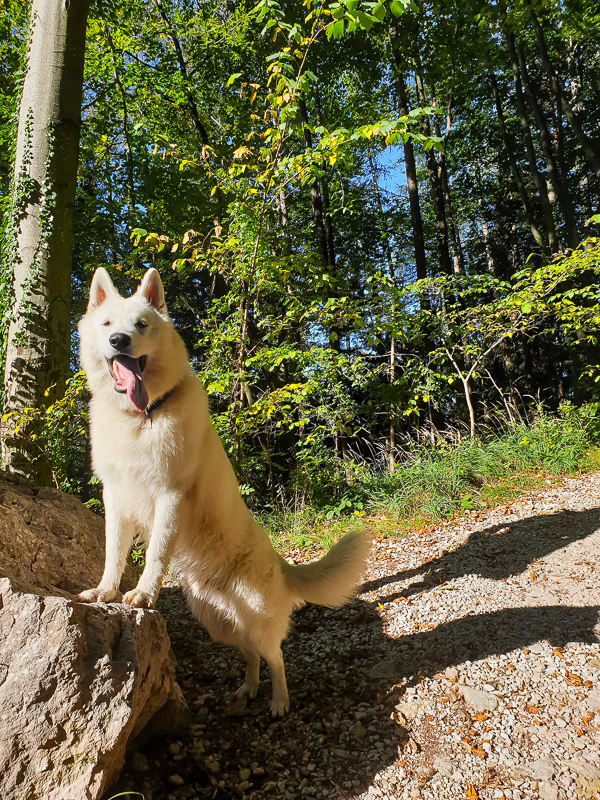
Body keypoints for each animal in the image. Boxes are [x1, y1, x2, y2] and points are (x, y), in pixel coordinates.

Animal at [78, 270, 370, 720]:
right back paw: (246, 691)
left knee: (276, 657)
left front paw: (142, 594)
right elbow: (113, 552)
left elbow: (155, 552)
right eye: (108, 324)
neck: (142, 418)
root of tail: (283, 565)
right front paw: (104, 591)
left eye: (141, 325)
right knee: (251, 655)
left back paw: (279, 702)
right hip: (219, 622)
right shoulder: (115, 497)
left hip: (256, 620)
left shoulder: (169, 496)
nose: (119, 341)